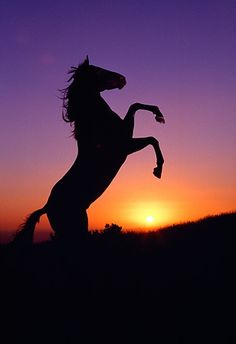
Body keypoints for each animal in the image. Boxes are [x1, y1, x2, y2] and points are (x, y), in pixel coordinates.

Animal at [12, 56, 164, 243]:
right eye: (98, 70)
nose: (123, 79)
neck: (96, 123)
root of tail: (47, 206)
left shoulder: (126, 143)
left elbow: (135, 107)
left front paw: (159, 114)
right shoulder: (125, 145)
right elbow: (150, 136)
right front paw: (158, 169)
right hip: (74, 228)